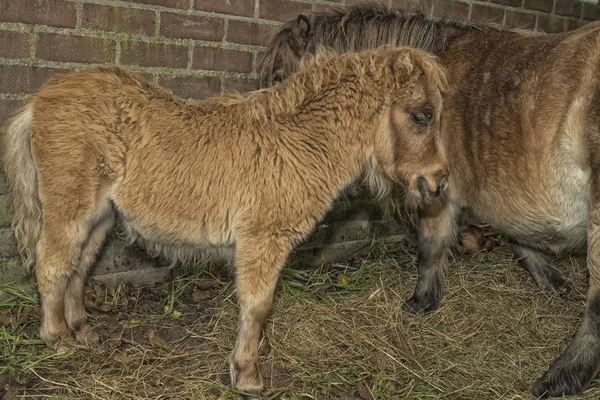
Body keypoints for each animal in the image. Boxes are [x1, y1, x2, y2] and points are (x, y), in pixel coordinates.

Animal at [2, 47, 448, 394]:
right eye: (420, 116)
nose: (440, 181)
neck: (298, 142)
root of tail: (40, 100)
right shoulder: (263, 239)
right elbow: (258, 304)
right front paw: (247, 373)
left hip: (100, 215)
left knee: (78, 266)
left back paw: (82, 329)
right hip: (70, 206)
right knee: (52, 264)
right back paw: (58, 339)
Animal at [260, 4, 600, 398]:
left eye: (279, 77)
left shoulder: (434, 188)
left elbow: (431, 248)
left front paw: (421, 302)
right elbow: (519, 237)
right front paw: (553, 280)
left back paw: (563, 376)